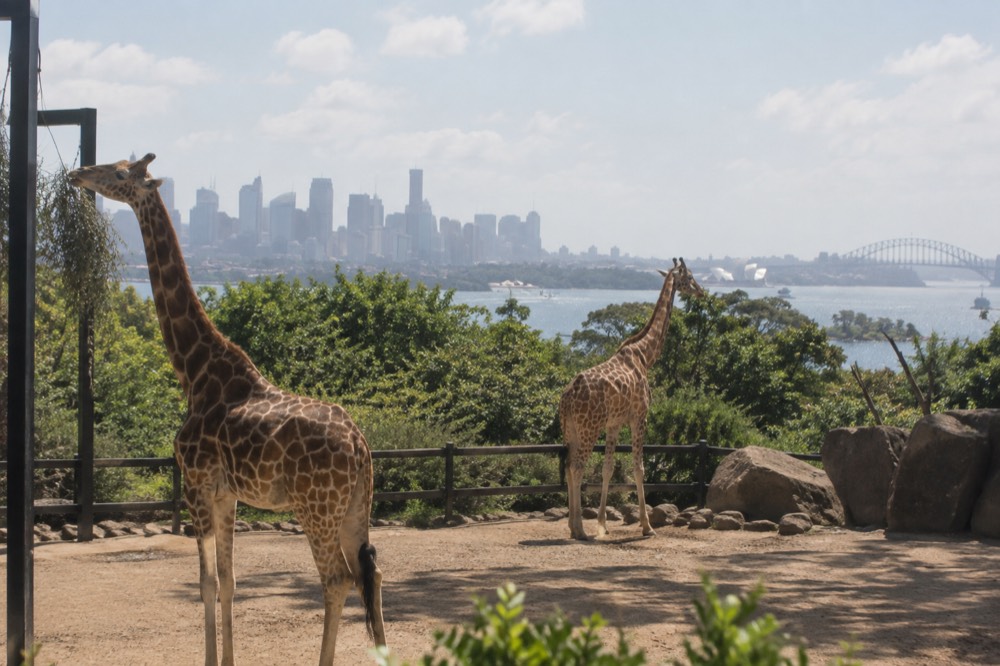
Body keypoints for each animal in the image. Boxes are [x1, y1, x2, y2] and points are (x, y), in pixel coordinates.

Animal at [69, 154, 385, 666]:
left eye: (118, 174)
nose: (77, 175)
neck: (195, 372)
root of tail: (360, 447)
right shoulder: (227, 494)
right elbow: (230, 582)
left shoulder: (196, 484)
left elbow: (205, 582)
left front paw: (211, 658)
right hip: (356, 505)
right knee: (370, 574)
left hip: (316, 508)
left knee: (337, 580)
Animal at [560, 258, 703, 540]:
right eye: (690, 276)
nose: (702, 291)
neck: (645, 355)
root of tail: (568, 397)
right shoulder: (640, 416)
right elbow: (639, 468)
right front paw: (647, 526)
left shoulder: (614, 424)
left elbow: (608, 468)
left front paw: (602, 524)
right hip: (588, 428)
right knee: (577, 468)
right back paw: (579, 529)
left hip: (570, 429)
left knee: (570, 466)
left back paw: (572, 526)